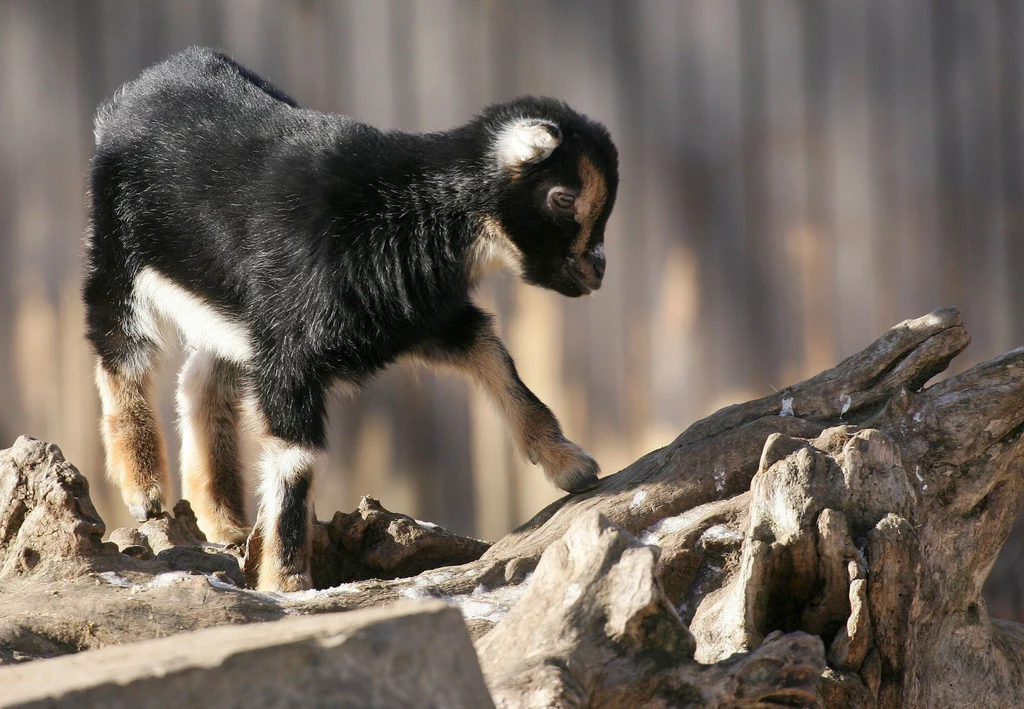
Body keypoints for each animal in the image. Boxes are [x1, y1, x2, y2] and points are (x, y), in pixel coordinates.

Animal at [83, 48, 614, 594]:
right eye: (562, 197)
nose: (598, 269)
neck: (408, 211)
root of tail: (140, 90)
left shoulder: (423, 317)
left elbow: (499, 362)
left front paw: (570, 464)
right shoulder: (291, 352)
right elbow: (296, 462)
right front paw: (286, 581)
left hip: (232, 312)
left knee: (201, 381)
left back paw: (222, 520)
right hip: (119, 256)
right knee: (120, 350)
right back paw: (143, 486)